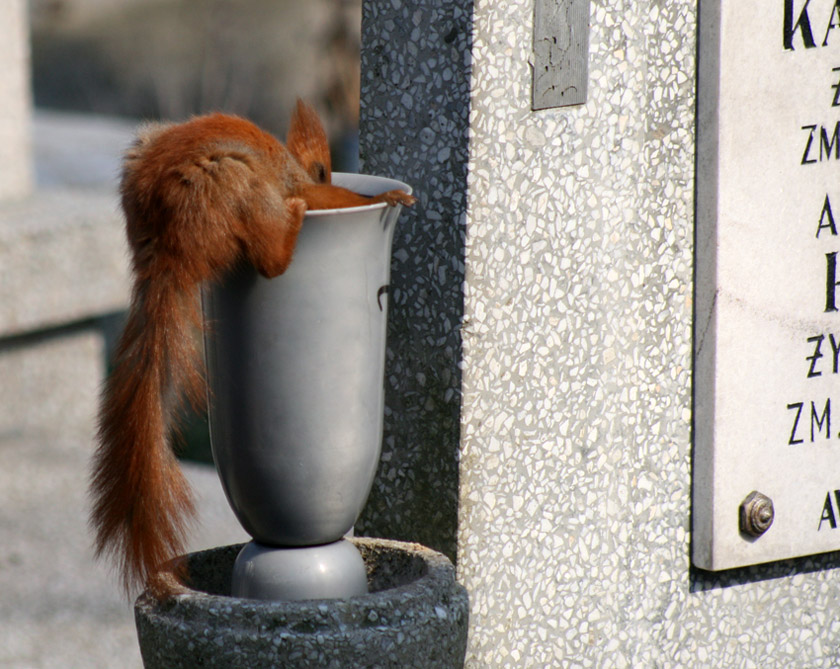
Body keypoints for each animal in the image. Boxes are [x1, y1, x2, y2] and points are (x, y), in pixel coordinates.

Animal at [90, 100, 416, 596]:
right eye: (325, 168)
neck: (293, 164)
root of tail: (164, 239)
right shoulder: (303, 185)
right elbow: (334, 199)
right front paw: (393, 197)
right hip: (239, 185)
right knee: (269, 260)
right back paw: (292, 222)